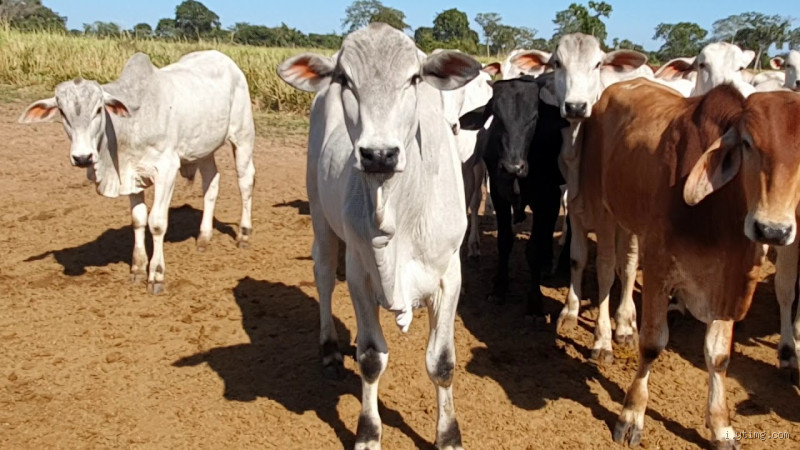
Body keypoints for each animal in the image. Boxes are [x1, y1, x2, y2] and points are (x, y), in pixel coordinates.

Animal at [462, 74, 568, 320]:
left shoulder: (547, 199)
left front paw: (535, 302)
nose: (512, 167)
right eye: (496, 115)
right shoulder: (498, 194)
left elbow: (534, 250)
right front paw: (499, 288)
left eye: (535, 116)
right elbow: (504, 241)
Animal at [580, 79, 800, 448]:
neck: (715, 214)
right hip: (602, 204)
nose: (772, 229)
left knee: (627, 266)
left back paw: (624, 325)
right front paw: (631, 415)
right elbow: (652, 344)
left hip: (631, 221)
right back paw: (604, 341)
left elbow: (719, 356)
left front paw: (721, 426)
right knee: (607, 270)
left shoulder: (729, 285)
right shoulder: (660, 271)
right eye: (747, 143)